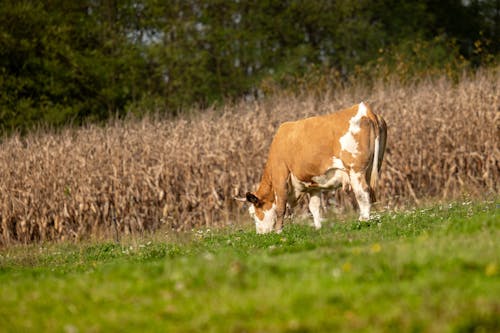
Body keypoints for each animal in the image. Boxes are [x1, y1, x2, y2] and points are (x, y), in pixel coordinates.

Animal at [237, 102, 386, 233]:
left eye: (253, 213)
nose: (260, 234)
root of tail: (365, 109)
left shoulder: (280, 178)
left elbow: (280, 207)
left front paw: (278, 231)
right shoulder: (313, 185)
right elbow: (314, 207)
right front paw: (318, 228)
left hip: (355, 170)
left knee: (362, 193)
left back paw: (363, 221)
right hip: (371, 168)